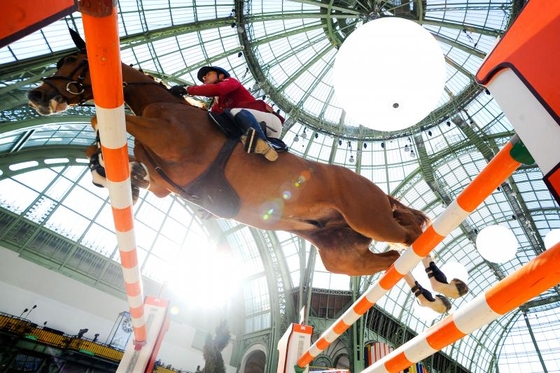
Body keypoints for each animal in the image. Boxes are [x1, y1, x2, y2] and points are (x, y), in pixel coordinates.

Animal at [26, 50, 434, 276]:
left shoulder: (171, 140)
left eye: (75, 61)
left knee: (412, 236)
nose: (37, 95)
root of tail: (376, 189)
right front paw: (106, 170)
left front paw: (102, 162)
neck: (162, 104)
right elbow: (131, 160)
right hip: (340, 252)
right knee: (389, 258)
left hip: (369, 216)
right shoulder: (164, 185)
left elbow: (103, 120)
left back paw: (439, 290)